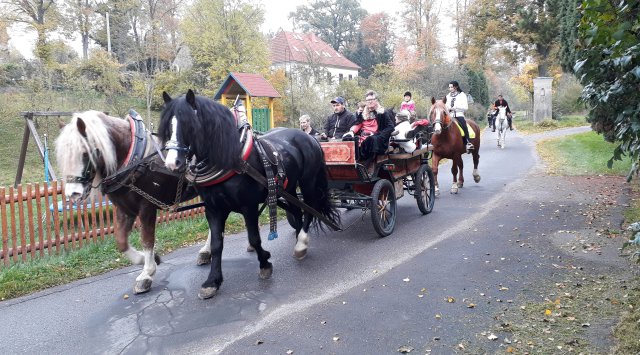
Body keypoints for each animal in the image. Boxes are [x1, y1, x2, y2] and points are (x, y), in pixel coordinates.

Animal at [158, 90, 340, 298]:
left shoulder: (248, 206)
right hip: (289, 187)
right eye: (167, 126)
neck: (229, 158)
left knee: (310, 208)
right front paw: (212, 281)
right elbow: (217, 244)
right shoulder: (213, 209)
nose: (173, 163)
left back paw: (301, 244)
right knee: (297, 210)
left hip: (308, 181)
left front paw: (265, 263)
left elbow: (254, 237)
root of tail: (310, 138)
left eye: (189, 125)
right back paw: (298, 237)